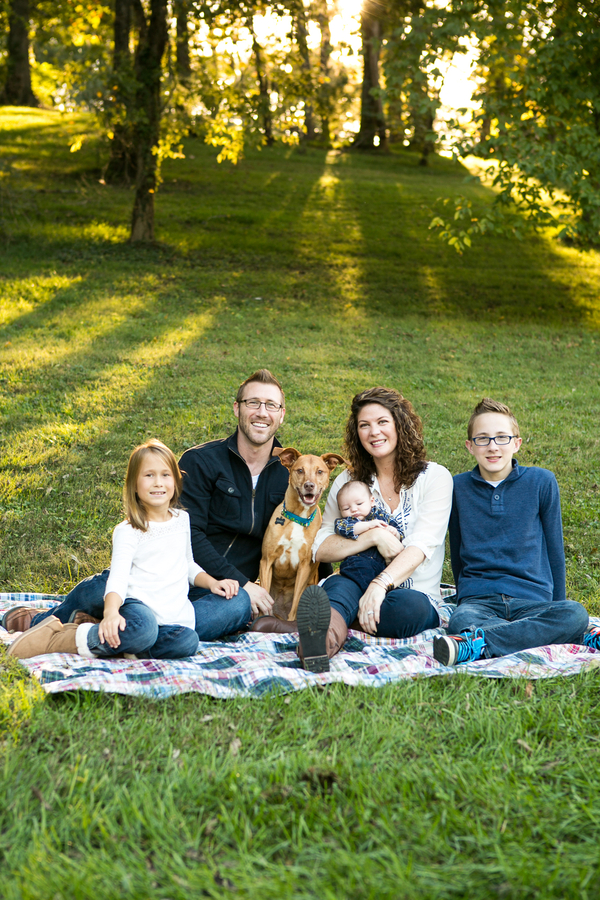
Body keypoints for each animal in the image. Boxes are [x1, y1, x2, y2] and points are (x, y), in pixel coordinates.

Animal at [259, 447, 346, 622]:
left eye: (320, 471)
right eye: (300, 470)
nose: (309, 485)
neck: (298, 519)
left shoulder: (304, 567)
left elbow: (294, 609)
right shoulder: (266, 561)